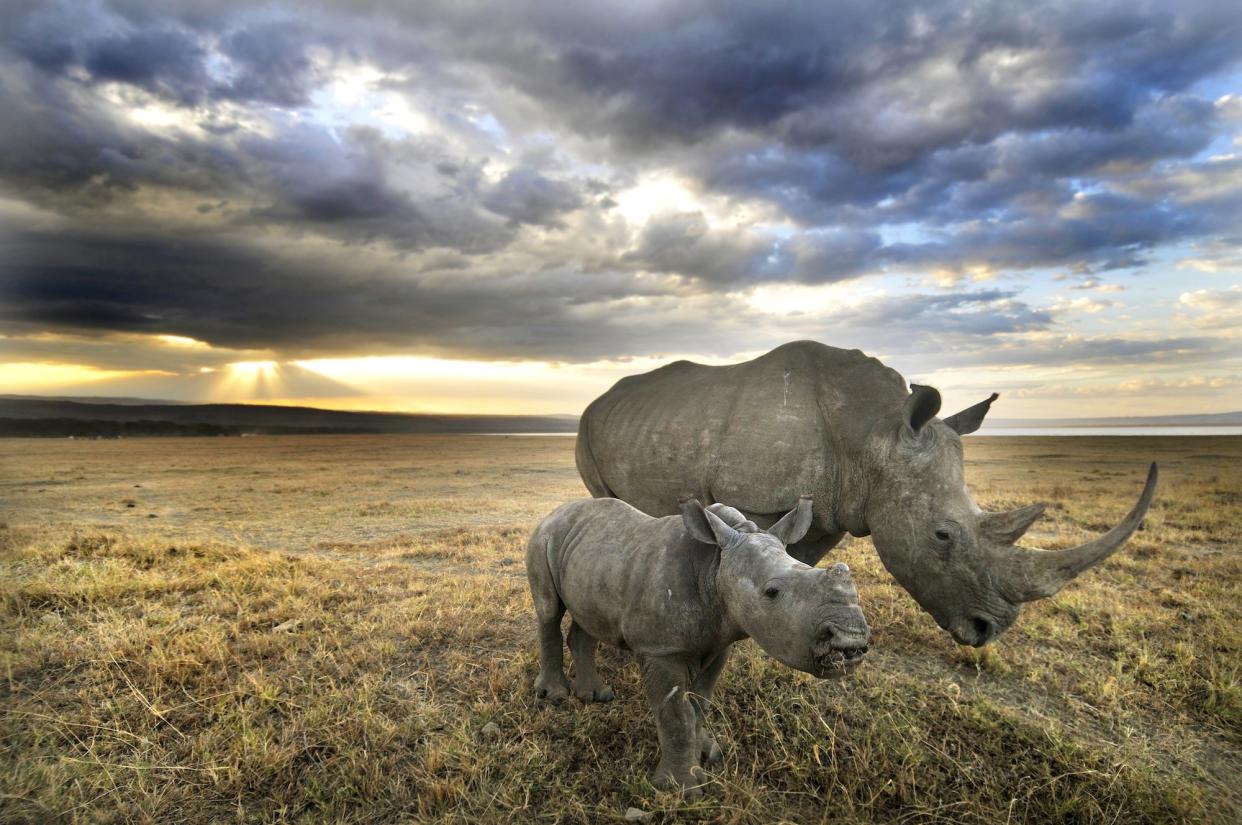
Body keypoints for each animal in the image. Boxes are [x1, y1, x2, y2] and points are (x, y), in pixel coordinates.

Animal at [529, 496, 869, 795]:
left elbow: (700, 703)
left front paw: (708, 755)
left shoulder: (719, 642)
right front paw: (681, 789)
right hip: (544, 537)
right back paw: (555, 696)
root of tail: (556, 512)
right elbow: (676, 713)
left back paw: (595, 696)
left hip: (593, 557)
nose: (851, 639)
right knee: (549, 610)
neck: (715, 566)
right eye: (772, 592)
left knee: (587, 618)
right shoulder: (661, 649)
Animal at [576, 337, 1157, 646]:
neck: (874, 434)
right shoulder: (759, 497)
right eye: (942, 535)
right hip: (587, 427)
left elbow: (798, 563)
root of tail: (600, 398)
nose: (988, 631)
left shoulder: (835, 505)